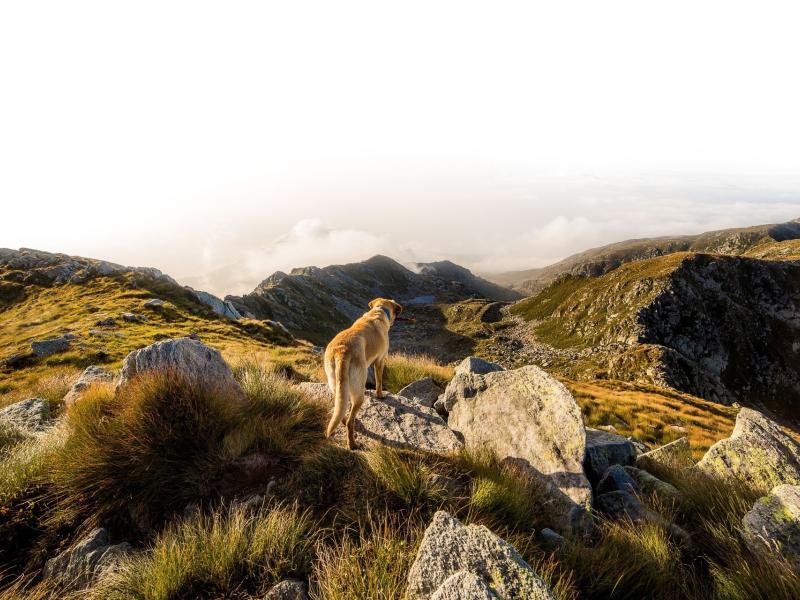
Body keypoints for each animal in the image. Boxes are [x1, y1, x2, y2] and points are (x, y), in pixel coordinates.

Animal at [322, 298, 404, 448]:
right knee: (350, 421)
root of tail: (342, 351)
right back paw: (352, 444)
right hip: (359, 392)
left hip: (336, 383)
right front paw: (380, 395)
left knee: (341, 409)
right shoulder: (380, 360)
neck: (379, 310)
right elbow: (379, 381)